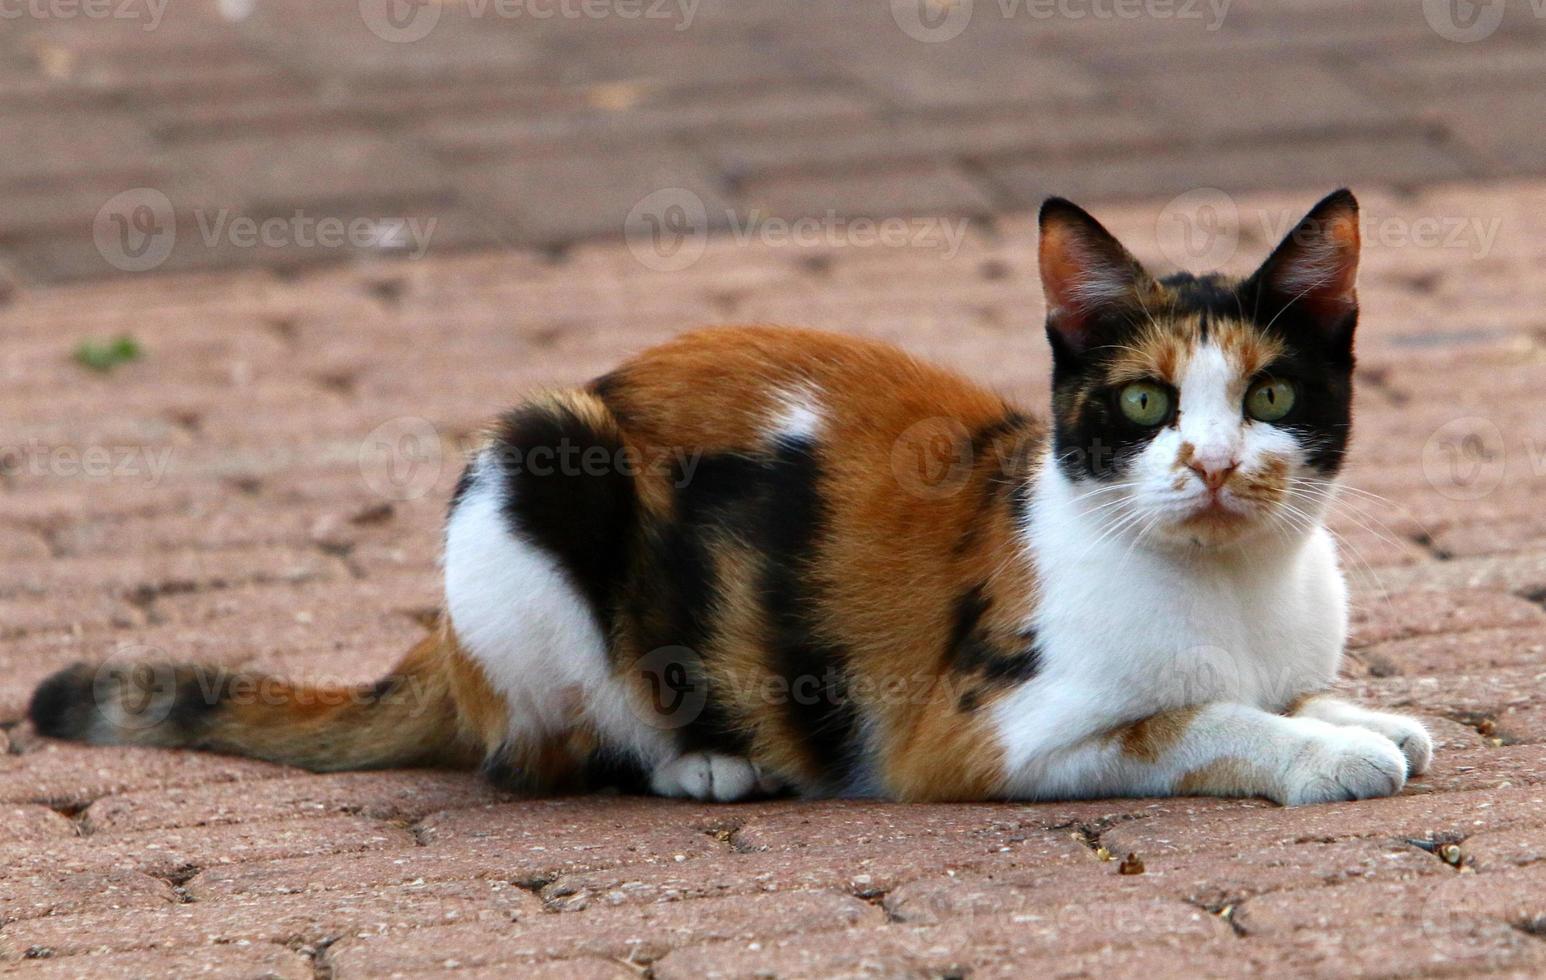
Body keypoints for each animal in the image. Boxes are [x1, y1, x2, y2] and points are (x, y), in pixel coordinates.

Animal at [27, 188, 1434, 803]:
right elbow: (1196, 721)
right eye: (1143, 406)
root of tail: (436, 650)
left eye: (1269, 396)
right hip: (532, 467)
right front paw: (1323, 752)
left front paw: (1352, 710)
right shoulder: (982, 735)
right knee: (533, 754)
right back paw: (704, 759)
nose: (1214, 465)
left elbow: (1283, 691)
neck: (1231, 590)